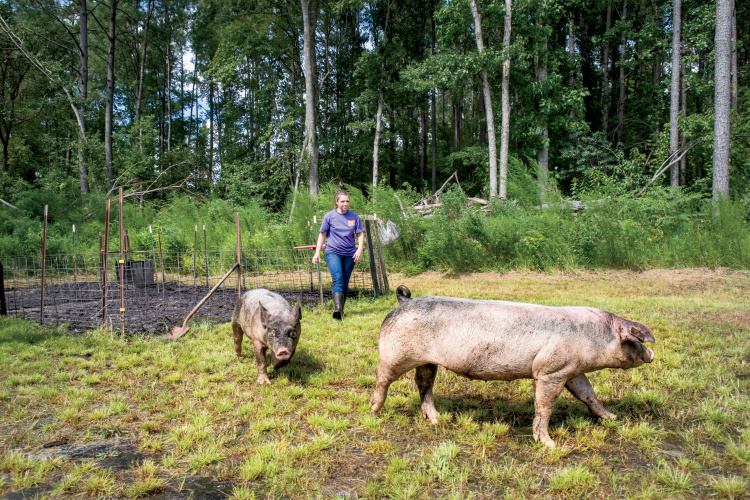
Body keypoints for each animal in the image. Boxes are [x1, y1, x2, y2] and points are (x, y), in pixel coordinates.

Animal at [370, 285, 655, 447]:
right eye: (636, 340)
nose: (651, 353)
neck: (592, 336)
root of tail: (404, 301)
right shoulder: (550, 370)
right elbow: (544, 407)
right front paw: (549, 444)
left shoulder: (572, 371)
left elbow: (588, 394)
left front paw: (612, 418)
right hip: (396, 354)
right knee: (382, 375)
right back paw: (374, 409)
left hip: (428, 361)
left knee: (423, 383)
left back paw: (436, 420)